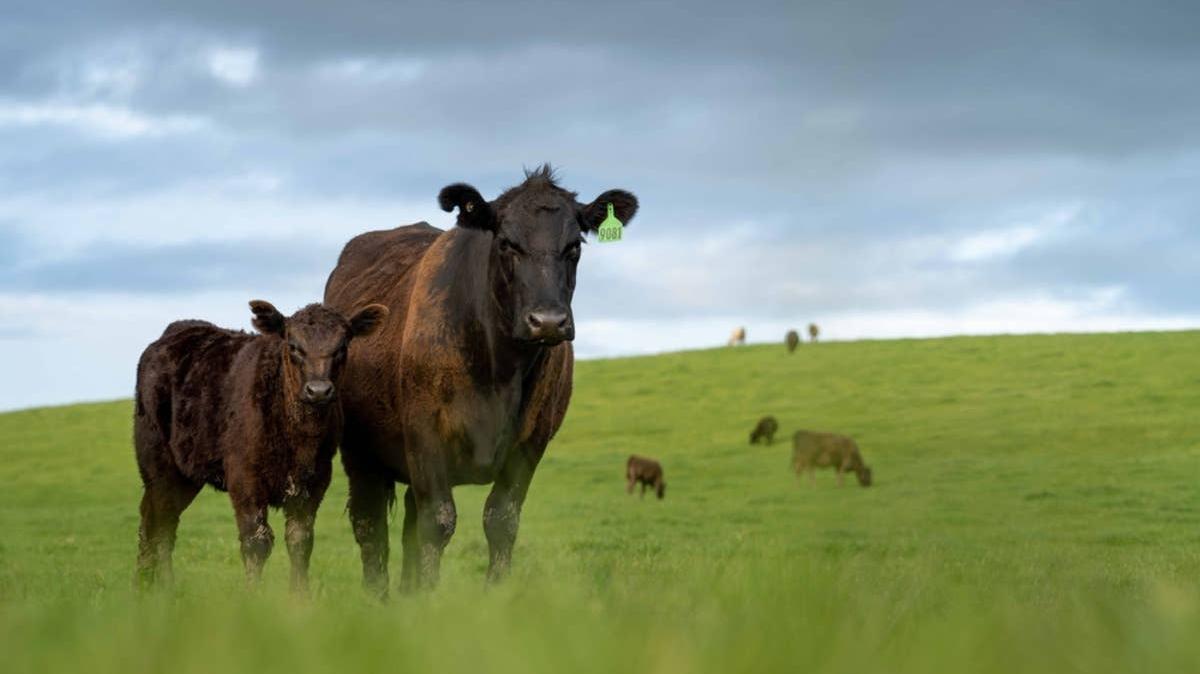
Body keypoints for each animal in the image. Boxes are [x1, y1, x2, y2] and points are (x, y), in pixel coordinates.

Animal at [133, 300, 388, 591]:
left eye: (343, 346)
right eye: (293, 345)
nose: (319, 390)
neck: (299, 441)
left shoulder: (314, 482)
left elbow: (300, 541)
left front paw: (299, 598)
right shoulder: (244, 478)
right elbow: (256, 542)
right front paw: (252, 598)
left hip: (186, 474)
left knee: (166, 521)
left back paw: (163, 587)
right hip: (158, 465)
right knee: (155, 520)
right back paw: (147, 586)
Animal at [324, 165, 638, 595]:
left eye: (575, 246)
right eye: (507, 243)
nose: (548, 321)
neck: (499, 371)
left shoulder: (531, 443)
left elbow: (500, 520)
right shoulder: (424, 435)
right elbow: (438, 522)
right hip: (360, 453)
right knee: (370, 525)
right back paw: (378, 596)